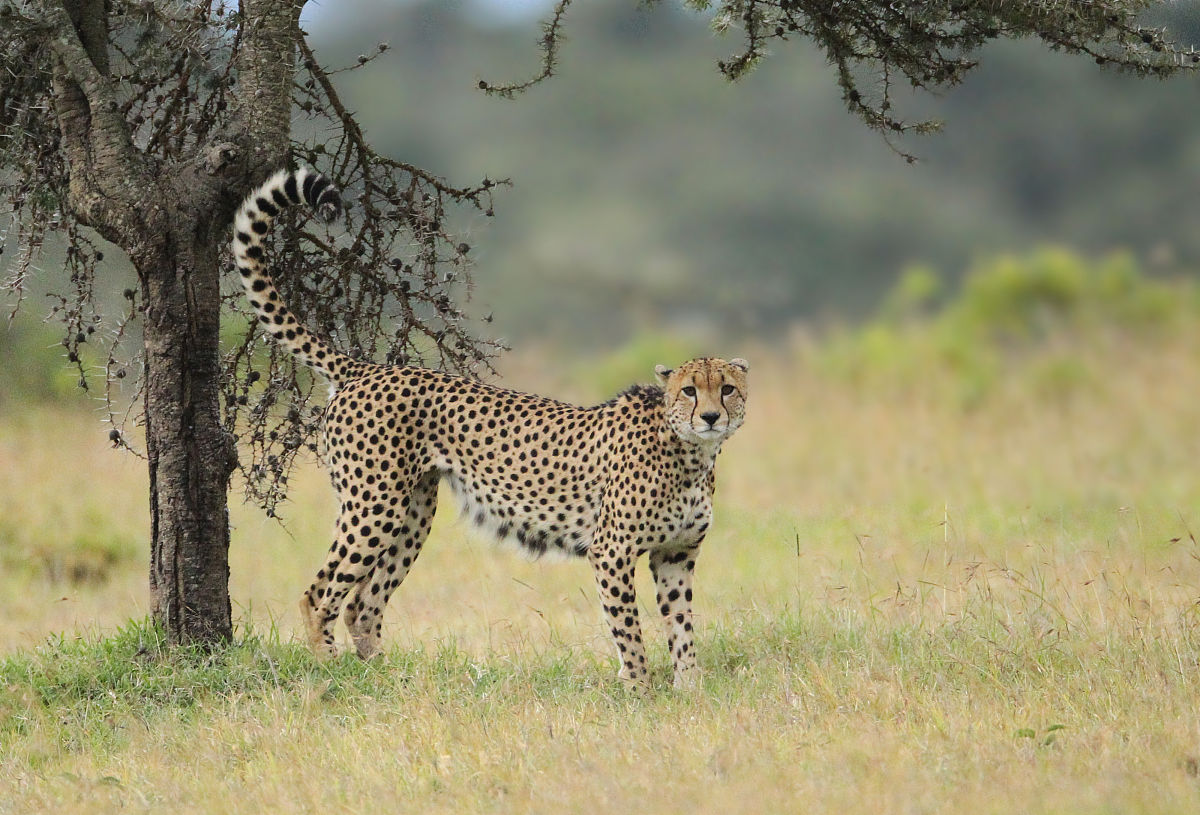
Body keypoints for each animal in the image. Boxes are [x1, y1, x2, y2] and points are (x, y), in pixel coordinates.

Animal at [229, 169, 744, 691]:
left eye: (727, 389)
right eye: (688, 391)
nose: (710, 418)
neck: (691, 456)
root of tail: (369, 369)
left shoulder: (676, 554)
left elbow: (681, 626)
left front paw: (690, 689)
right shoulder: (611, 551)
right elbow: (629, 629)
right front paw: (639, 688)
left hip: (413, 512)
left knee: (363, 603)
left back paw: (383, 677)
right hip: (373, 505)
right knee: (320, 595)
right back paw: (331, 670)